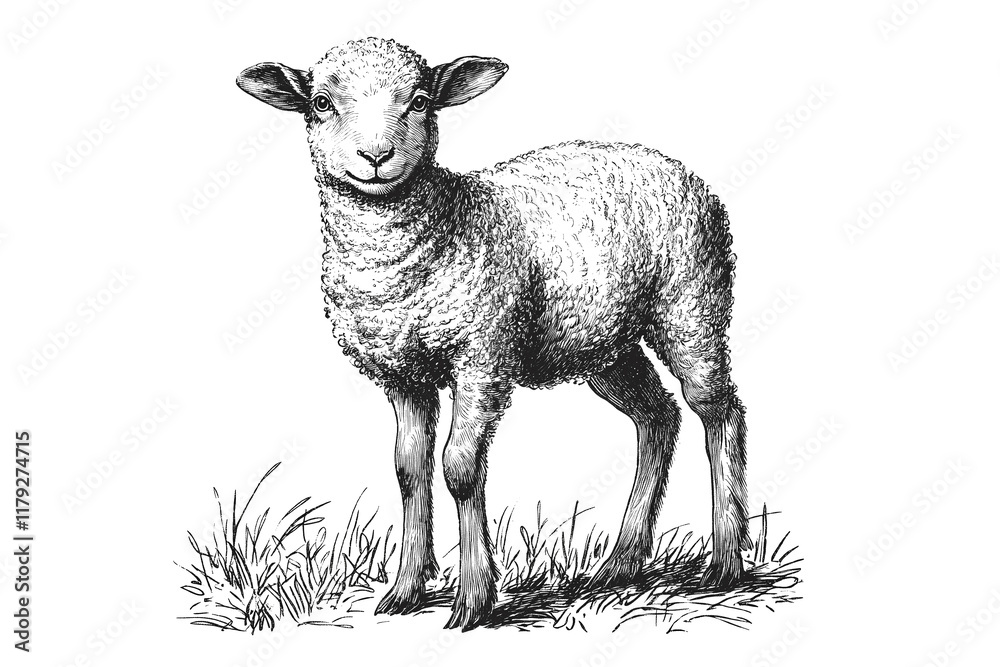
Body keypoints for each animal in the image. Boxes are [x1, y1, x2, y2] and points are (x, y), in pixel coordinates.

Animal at [236, 37, 748, 631]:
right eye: (321, 103)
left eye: (419, 100)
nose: (376, 156)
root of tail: (672, 165)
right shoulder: (402, 375)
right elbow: (409, 470)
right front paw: (406, 590)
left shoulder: (482, 358)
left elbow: (459, 468)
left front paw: (474, 598)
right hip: (605, 344)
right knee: (658, 416)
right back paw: (622, 563)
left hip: (692, 307)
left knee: (719, 410)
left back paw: (726, 561)